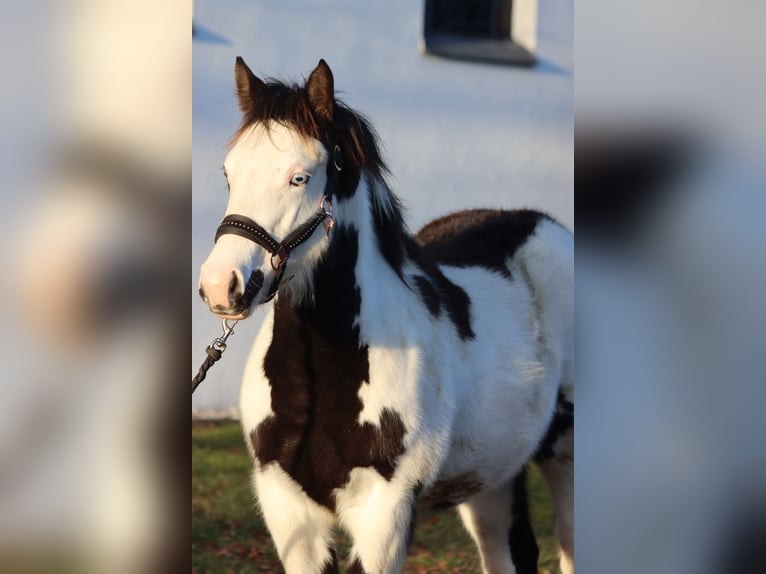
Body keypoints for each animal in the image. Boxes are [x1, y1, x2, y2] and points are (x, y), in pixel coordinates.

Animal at [200, 57, 576, 574]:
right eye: (229, 173)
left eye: (301, 177)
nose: (222, 285)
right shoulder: (288, 510)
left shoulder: (385, 512)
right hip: (492, 476)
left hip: (565, 457)